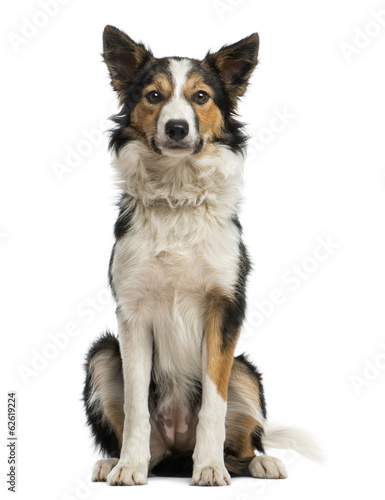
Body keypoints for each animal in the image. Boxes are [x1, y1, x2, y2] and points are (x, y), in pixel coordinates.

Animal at [82, 25, 318, 486]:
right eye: (153, 95)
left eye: (201, 96)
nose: (176, 128)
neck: (177, 196)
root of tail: (176, 451)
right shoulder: (131, 313)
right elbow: (135, 406)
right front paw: (129, 467)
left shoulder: (225, 308)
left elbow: (214, 400)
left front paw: (208, 467)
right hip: (102, 352)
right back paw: (115, 462)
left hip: (246, 372)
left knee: (244, 444)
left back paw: (257, 461)